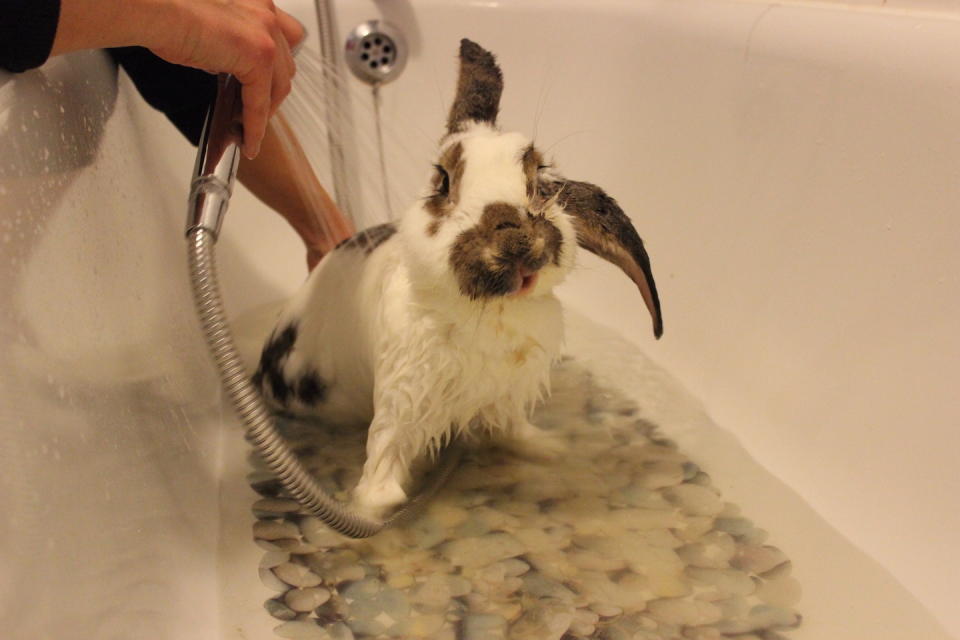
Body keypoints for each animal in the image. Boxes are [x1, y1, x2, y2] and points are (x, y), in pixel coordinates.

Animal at [251, 40, 664, 516]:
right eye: (443, 180)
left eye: (540, 180)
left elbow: (514, 433)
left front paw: (551, 450)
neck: (488, 313)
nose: (518, 246)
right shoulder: (401, 404)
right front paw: (371, 511)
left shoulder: (504, 395)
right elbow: (383, 480)